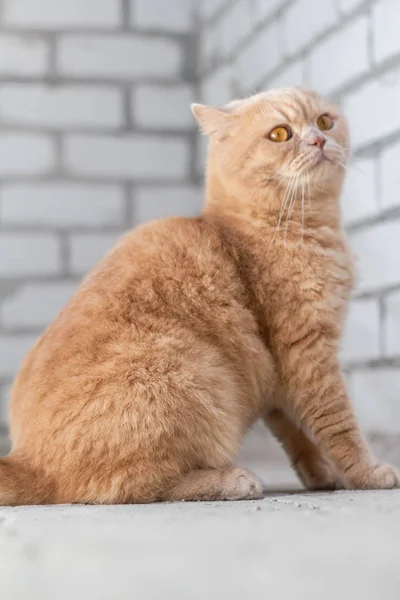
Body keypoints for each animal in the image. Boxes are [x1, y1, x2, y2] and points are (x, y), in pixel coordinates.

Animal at [1, 86, 398, 504]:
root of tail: (28, 461)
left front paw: (321, 475)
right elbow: (338, 425)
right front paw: (367, 473)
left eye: (324, 121)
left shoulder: (278, 381)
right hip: (190, 375)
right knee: (134, 486)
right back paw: (232, 480)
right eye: (280, 134)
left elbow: (297, 435)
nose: (318, 140)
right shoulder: (307, 355)